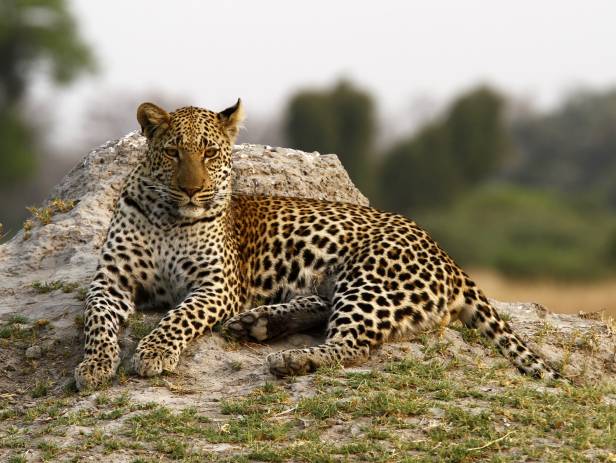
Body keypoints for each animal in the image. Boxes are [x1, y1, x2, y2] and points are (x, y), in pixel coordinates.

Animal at [73, 99, 564, 390]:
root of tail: (448, 257)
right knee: (325, 310)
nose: (193, 190)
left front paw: (154, 352)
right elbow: (98, 322)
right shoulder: (110, 282)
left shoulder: (217, 286)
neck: (168, 218)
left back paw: (293, 360)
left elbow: (179, 317)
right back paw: (258, 324)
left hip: (370, 279)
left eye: (210, 153)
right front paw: (94, 365)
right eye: (173, 152)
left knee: (351, 343)